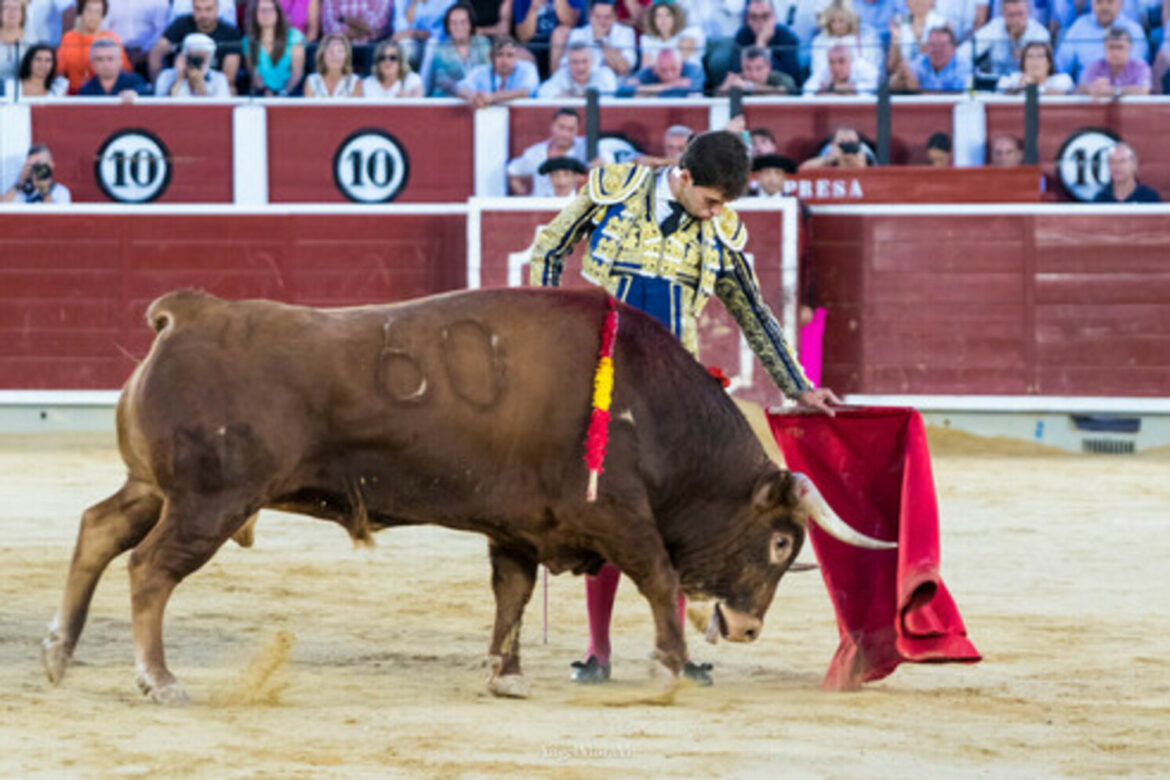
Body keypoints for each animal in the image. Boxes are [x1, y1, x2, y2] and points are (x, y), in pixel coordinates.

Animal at [45, 290, 884, 706]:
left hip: (156, 488)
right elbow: (657, 576)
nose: (745, 629)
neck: (652, 406)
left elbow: (511, 593)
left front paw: (505, 674)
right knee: (150, 570)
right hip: (209, 501)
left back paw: (61, 652)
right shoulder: (615, 515)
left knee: (97, 530)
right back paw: (159, 681)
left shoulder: (517, 526)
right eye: (781, 541)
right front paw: (669, 667)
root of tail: (188, 314)